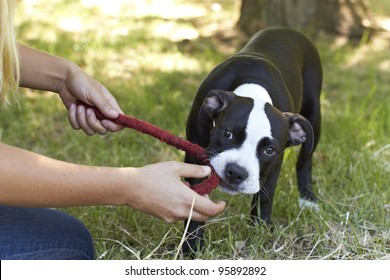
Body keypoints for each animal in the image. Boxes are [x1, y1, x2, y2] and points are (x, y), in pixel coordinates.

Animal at [183, 27, 322, 253]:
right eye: (227, 134)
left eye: (269, 150)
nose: (236, 172)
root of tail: (287, 29)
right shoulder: (195, 156)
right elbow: (195, 201)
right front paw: (192, 246)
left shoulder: (274, 166)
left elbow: (265, 197)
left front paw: (260, 229)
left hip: (314, 115)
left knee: (305, 159)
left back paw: (307, 198)